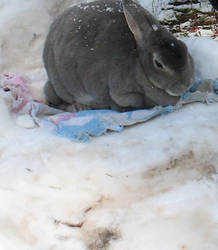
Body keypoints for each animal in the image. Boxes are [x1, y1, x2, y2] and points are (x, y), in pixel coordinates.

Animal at [42, 0, 194, 111]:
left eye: (184, 48)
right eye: (158, 63)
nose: (184, 85)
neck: (139, 64)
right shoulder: (120, 93)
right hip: (61, 88)